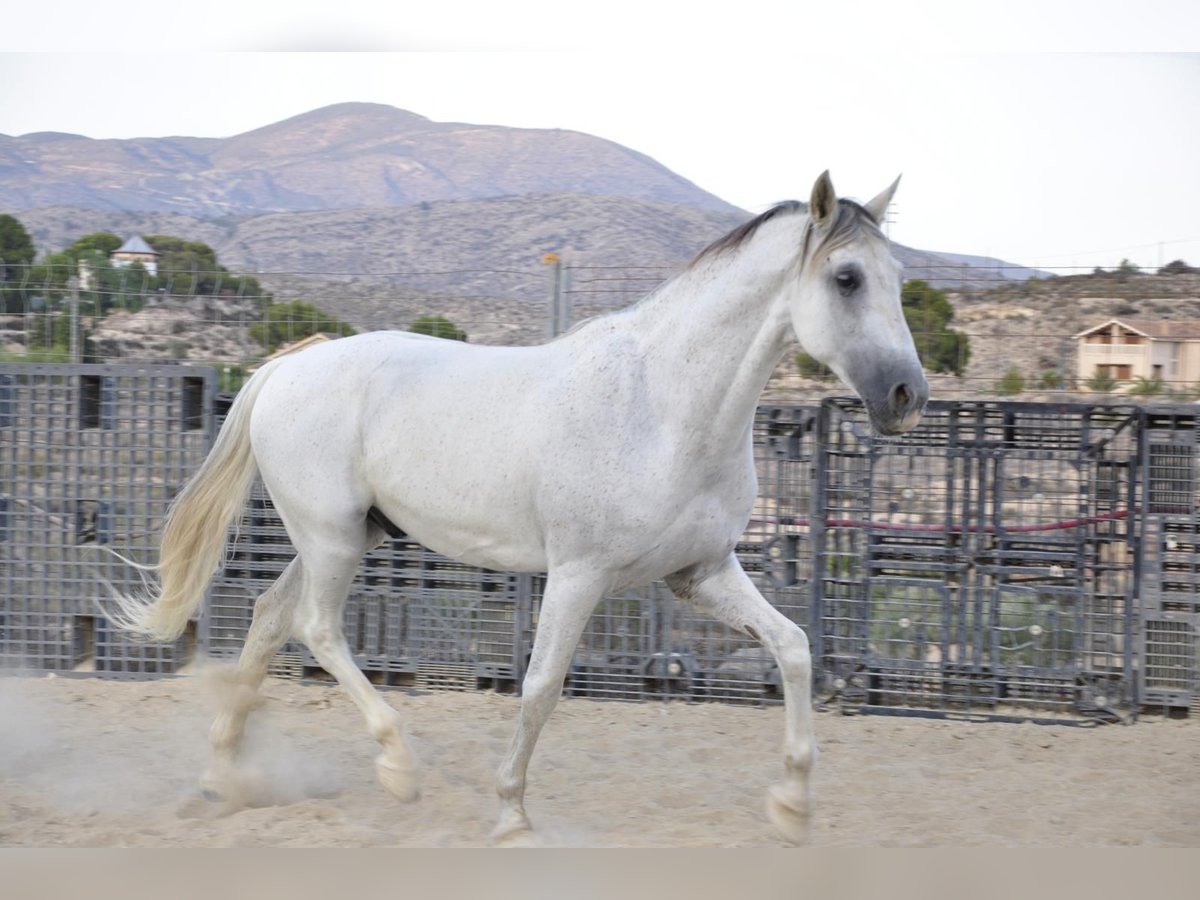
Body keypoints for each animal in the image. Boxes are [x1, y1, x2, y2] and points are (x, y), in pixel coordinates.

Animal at [108, 170, 926, 844]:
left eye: (896, 276)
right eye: (847, 277)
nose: (906, 396)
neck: (663, 406)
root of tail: (288, 364)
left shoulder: (702, 573)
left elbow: (794, 647)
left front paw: (792, 806)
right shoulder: (579, 574)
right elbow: (540, 689)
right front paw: (510, 815)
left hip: (342, 538)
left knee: (270, 617)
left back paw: (221, 778)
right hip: (331, 537)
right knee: (315, 627)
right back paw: (397, 765)